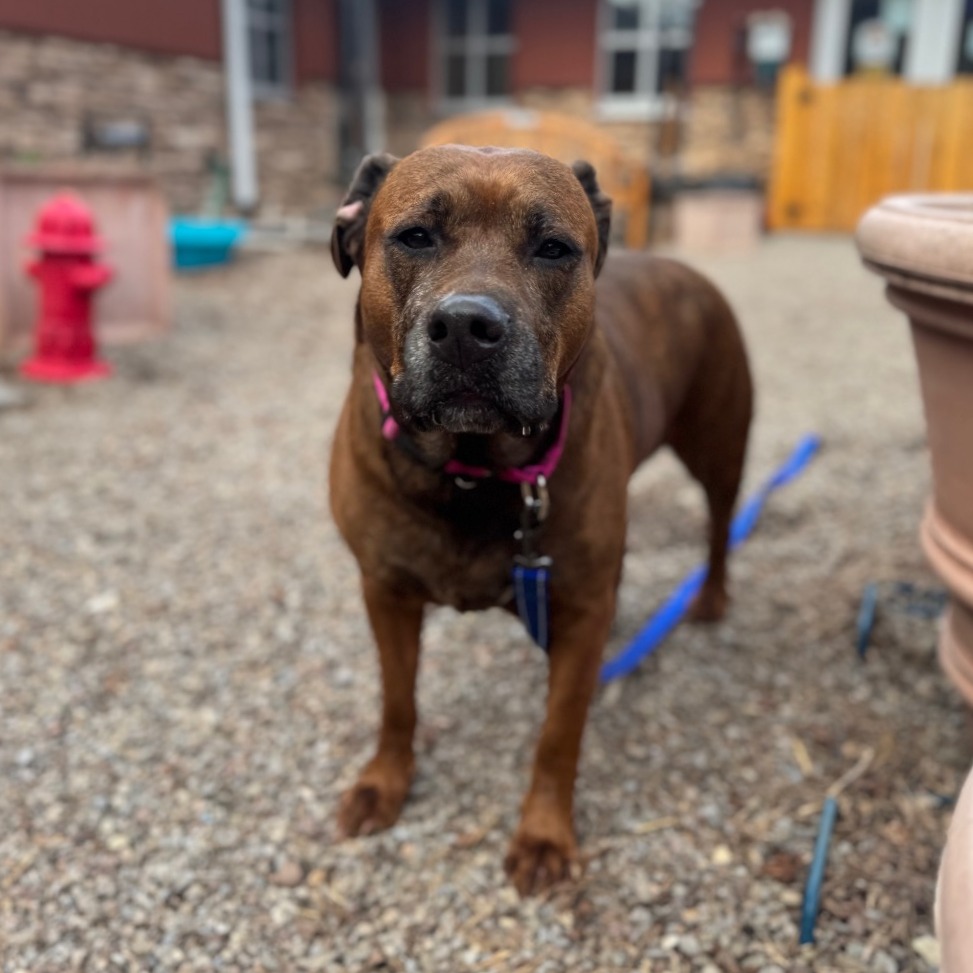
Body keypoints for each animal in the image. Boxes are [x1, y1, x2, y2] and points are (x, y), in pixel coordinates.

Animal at [328, 145, 753, 895]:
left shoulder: (579, 610)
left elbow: (558, 733)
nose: (467, 327)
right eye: (414, 236)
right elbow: (396, 700)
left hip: (719, 447)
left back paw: (709, 597)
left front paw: (545, 834)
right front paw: (384, 783)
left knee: (718, 524)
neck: (471, 472)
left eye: (553, 248)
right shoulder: (385, 590)